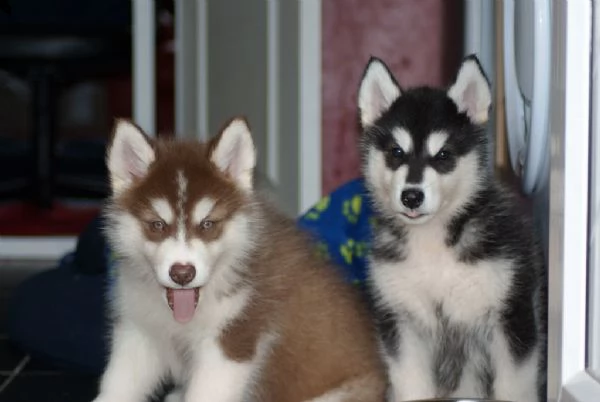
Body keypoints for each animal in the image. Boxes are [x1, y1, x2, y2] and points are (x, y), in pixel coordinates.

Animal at [92, 118, 384, 402]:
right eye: (157, 225)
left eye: (208, 224)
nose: (182, 273)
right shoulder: (138, 332)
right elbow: (117, 387)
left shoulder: (232, 340)